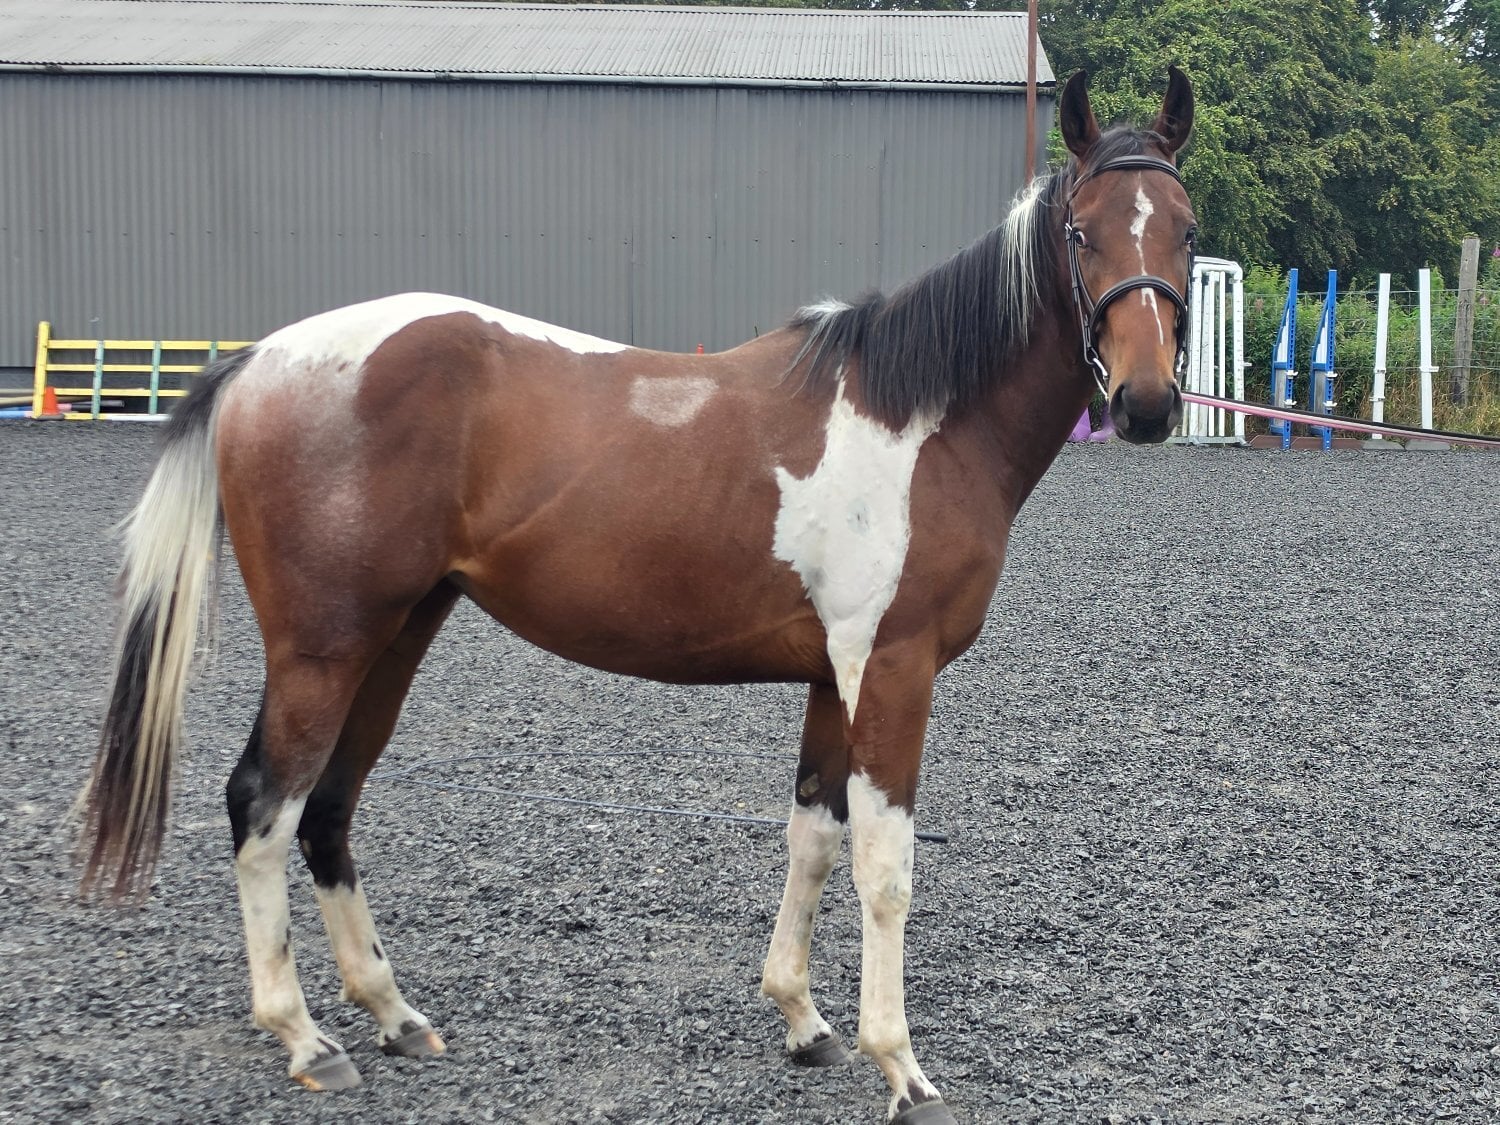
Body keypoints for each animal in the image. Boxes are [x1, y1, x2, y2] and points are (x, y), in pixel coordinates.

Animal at [77, 67, 1196, 1124]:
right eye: (1082, 232)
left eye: (1185, 231)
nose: (1146, 404)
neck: (918, 423)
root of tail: (260, 360)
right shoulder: (891, 669)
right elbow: (886, 867)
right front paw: (902, 1069)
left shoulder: (830, 679)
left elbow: (814, 838)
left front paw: (803, 1021)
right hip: (323, 649)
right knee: (265, 805)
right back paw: (305, 1037)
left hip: (393, 638)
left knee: (330, 809)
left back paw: (394, 1015)